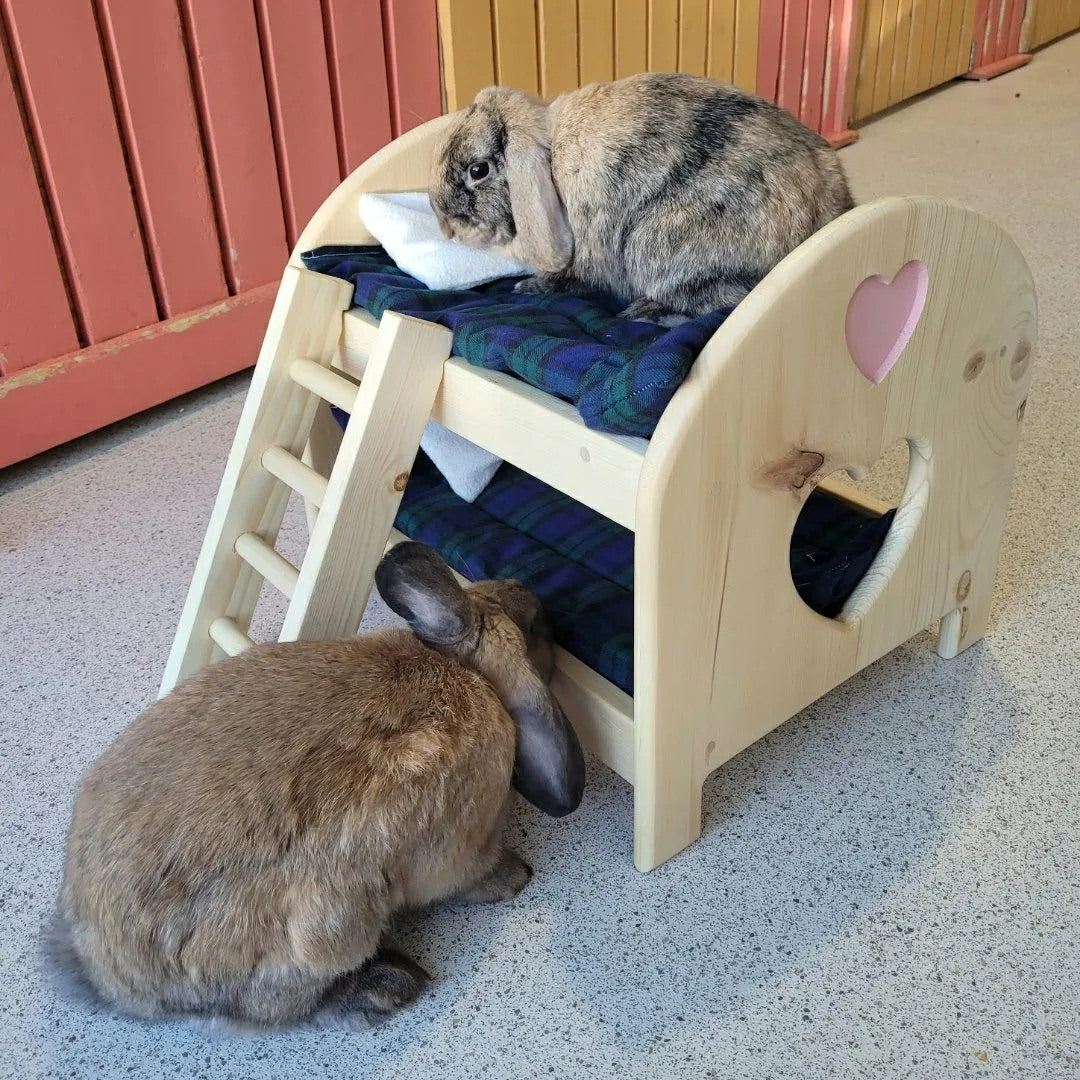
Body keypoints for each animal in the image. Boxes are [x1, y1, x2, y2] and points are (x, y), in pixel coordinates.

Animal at [46, 544, 587, 1032]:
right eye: (533, 627)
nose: (539, 600)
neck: (469, 674)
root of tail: (114, 981)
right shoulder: (464, 850)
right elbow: (470, 876)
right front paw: (515, 877)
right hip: (324, 938)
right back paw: (389, 984)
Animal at [425, 70, 855, 319]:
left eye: (477, 170)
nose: (446, 230)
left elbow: (566, 279)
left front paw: (527, 287)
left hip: (658, 246)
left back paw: (643, 311)